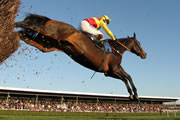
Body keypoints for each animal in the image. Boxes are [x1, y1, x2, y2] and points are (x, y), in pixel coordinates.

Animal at [15, 14, 147, 100]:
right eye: (138, 43)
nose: (145, 54)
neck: (116, 49)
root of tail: (51, 20)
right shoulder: (113, 69)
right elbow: (125, 78)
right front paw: (132, 94)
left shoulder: (109, 72)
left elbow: (128, 76)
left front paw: (135, 94)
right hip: (49, 31)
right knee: (28, 26)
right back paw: (15, 23)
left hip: (47, 44)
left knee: (24, 35)